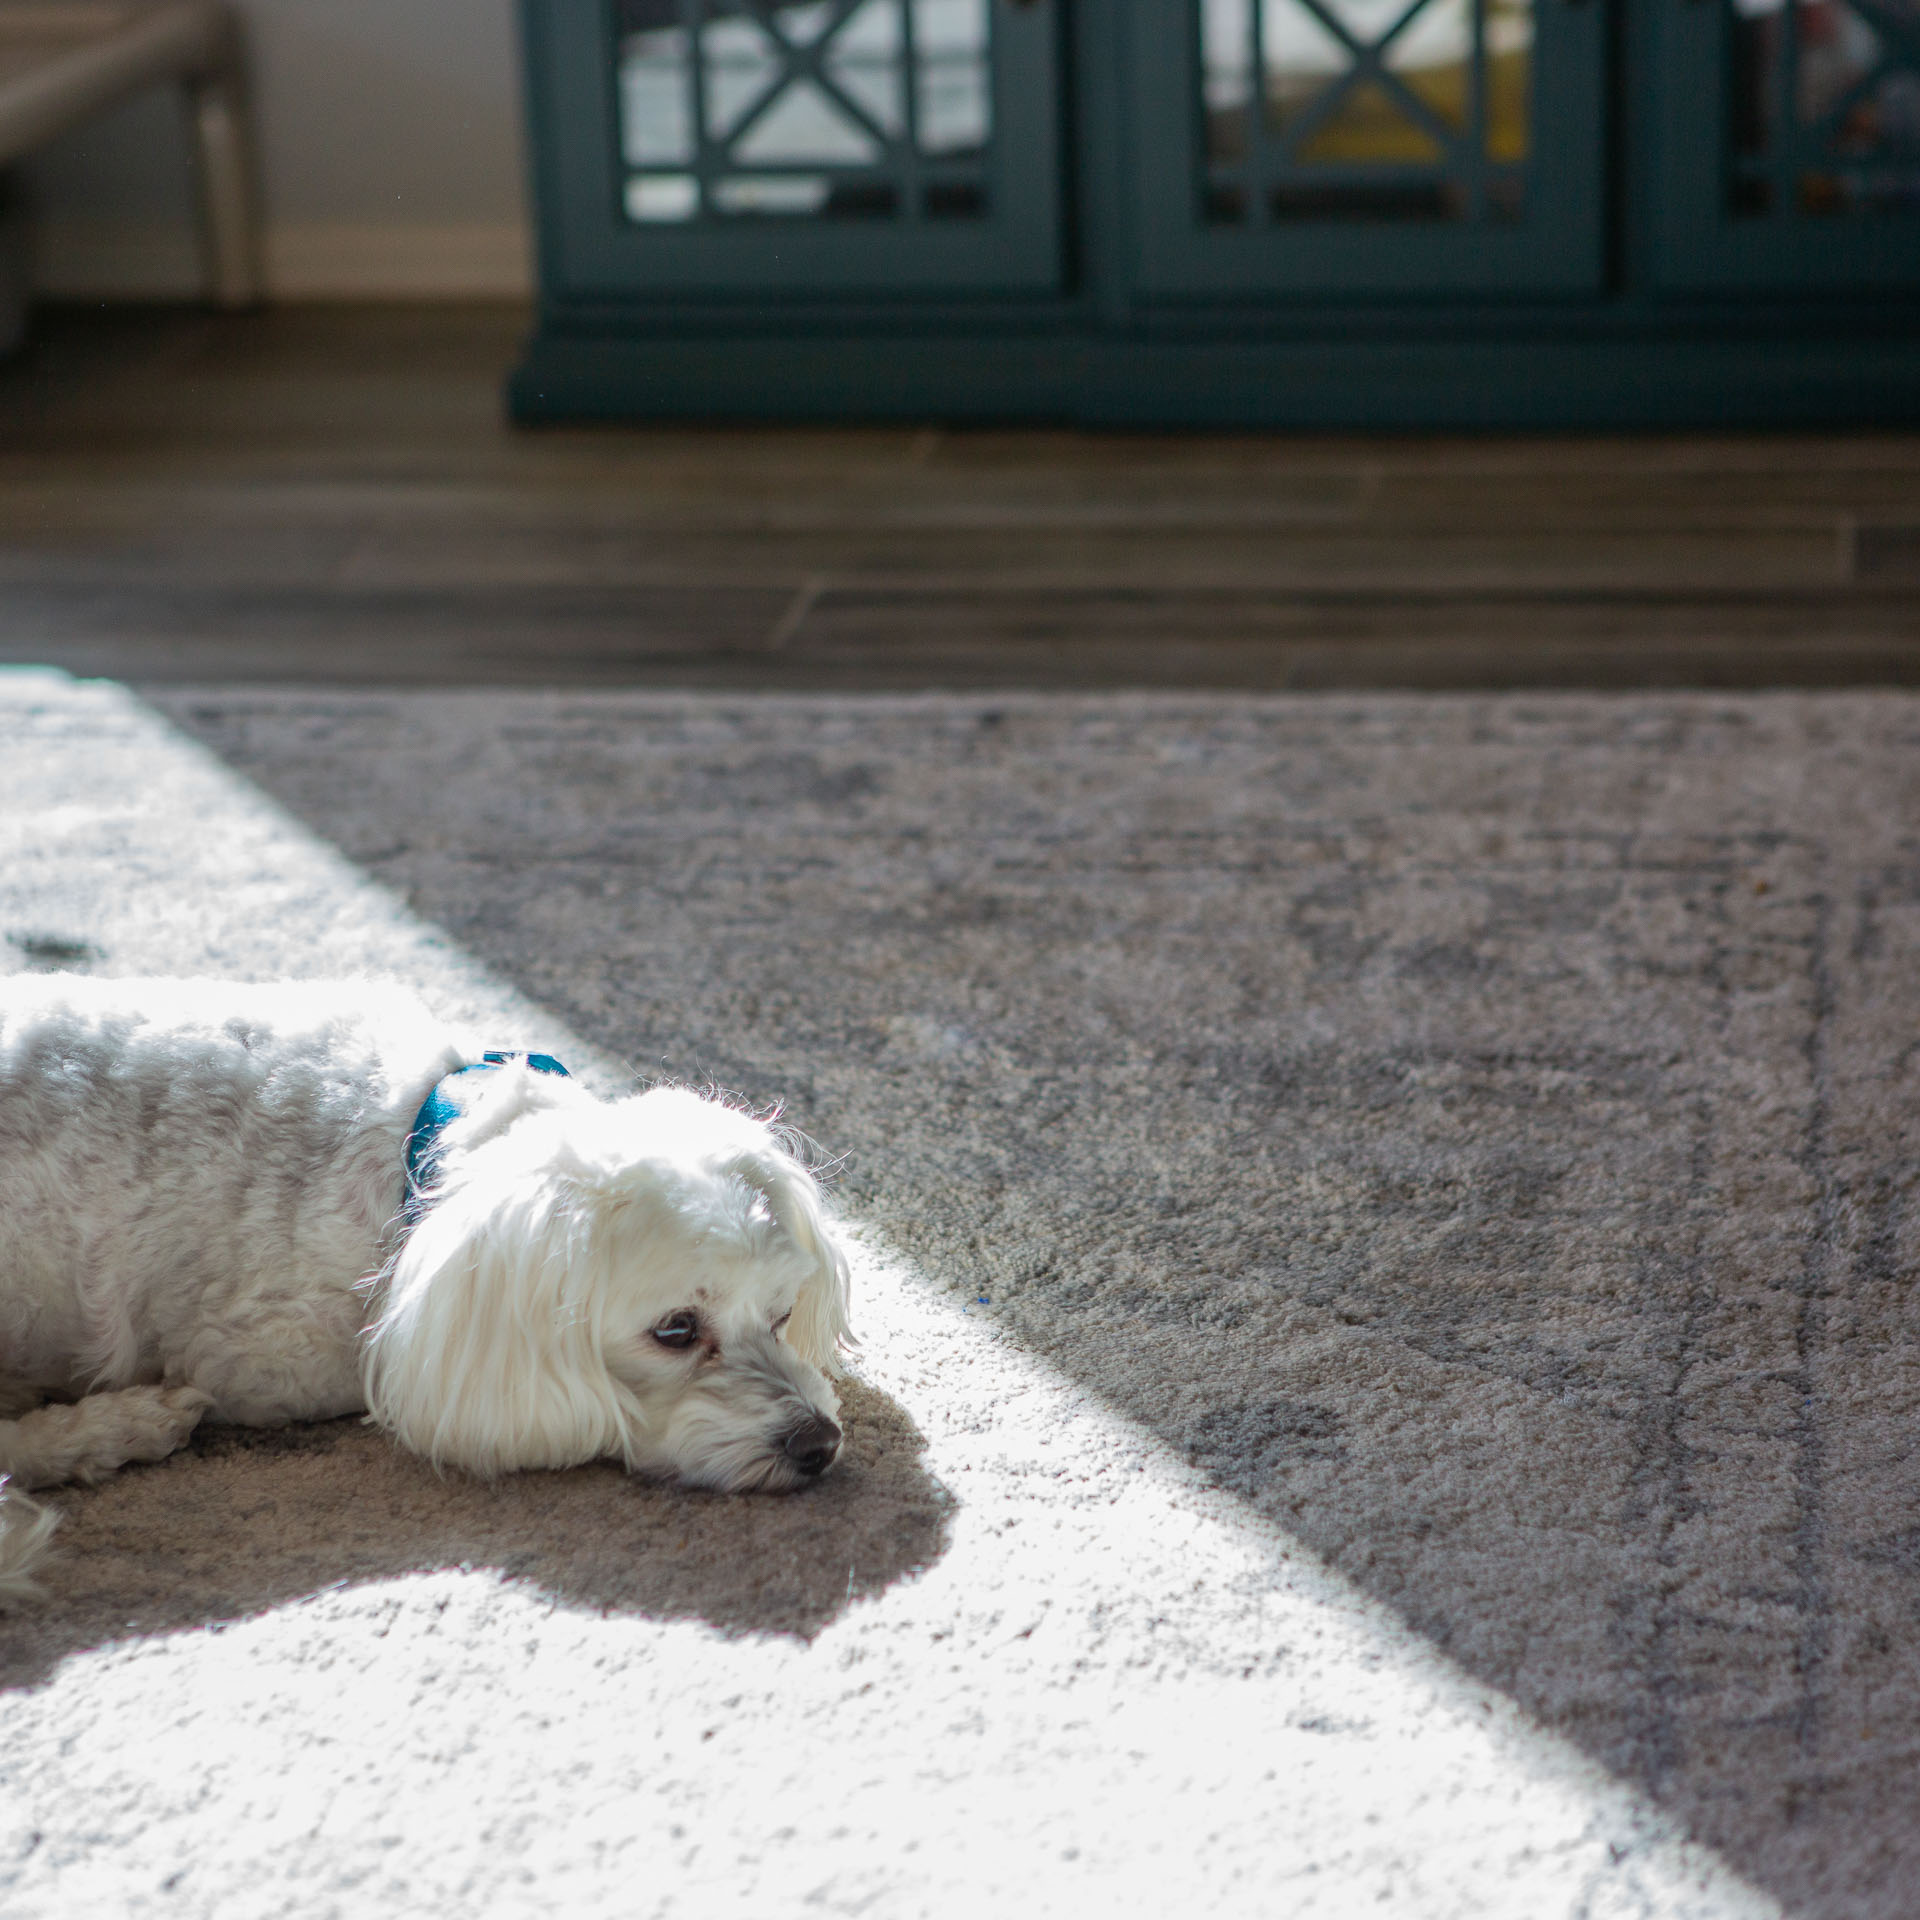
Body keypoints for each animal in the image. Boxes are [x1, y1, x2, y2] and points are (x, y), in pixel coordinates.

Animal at [0, 975, 856, 1605]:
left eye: (782, 1314)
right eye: (675, 1330)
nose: (818, 1444)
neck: (420, 1157)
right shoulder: (263, 1356)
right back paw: (116, 1427)